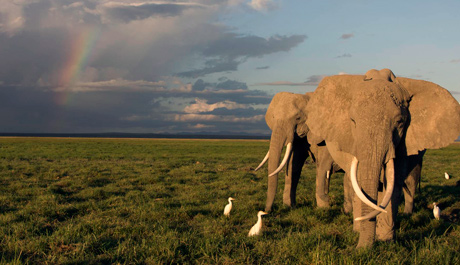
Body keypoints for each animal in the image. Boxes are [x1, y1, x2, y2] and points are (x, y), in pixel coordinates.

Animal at [304, 67, 460, 245]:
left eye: (400, 122)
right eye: (352, 121)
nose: (361, 249)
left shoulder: (404, 143)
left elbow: (393, 183)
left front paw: (386, 240)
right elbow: (360, 181)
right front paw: (361, 231)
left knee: (410, 180)